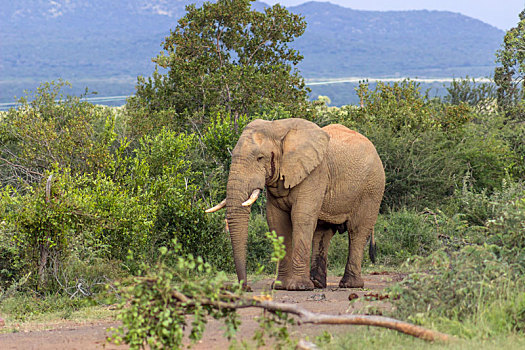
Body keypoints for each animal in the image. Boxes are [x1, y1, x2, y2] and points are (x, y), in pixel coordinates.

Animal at [206, 119, 384, 292]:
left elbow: (302, 218)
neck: (277, 128)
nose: (246, 288)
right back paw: (317, 283)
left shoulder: (315, 173)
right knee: (323, 232)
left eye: (260, 158)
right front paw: (280, 286)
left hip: (372, 189)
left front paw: (299, 287)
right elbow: (277, 222)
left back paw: (349, 285)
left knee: (357, 231)